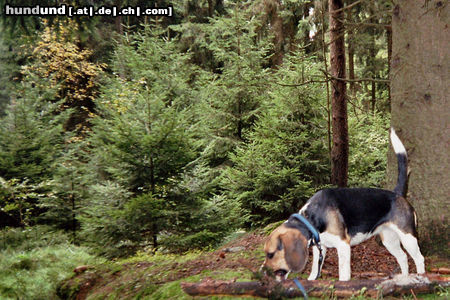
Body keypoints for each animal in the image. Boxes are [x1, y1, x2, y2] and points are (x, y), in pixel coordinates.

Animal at [262, 128, 424, 282]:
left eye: (271, 254)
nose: (262, 273)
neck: (312, 216)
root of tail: (397, 194)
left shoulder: (343, 246)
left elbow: (343, 276)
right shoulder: (320, 248)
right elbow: (314, 271)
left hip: (408, 237)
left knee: (419, 259)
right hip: (389, 240)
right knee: (403, 257)